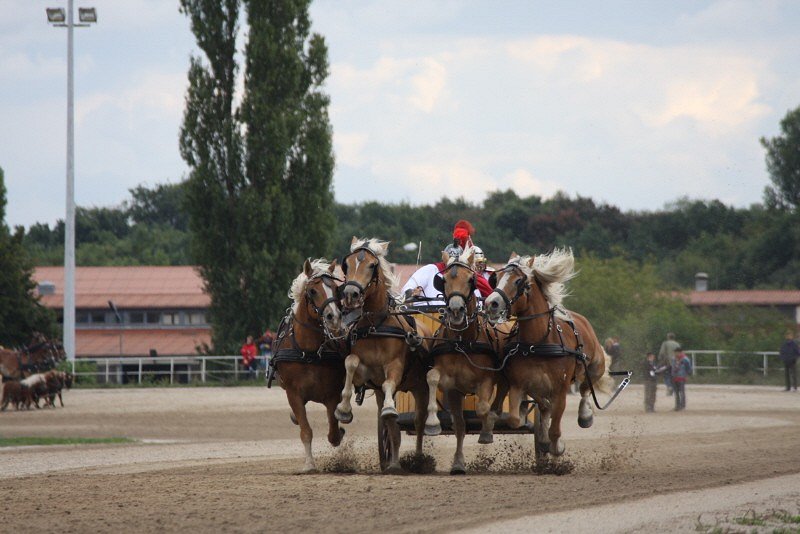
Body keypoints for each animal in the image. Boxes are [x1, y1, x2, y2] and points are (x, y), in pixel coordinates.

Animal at [272, 258, 346, 474]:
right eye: (312, 291)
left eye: (336, 289)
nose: (333, 317)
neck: (310, 352)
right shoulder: (294, 394)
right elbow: (305, 431)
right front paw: (309, 465)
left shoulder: (332, 394)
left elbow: (333, 433)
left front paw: (340, 429)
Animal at [334, 237, 432, 476]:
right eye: (346, 265)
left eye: (371, 265)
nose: (350, 295)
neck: (376, 326)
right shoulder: (367, 374)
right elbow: (350, 363)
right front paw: (344, 409)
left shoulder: (395, 367)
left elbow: (389, 384)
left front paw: (389, 408)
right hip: (381, 393)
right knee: (391, 428)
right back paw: (394, 463)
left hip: (421, 388)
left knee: (419, 422)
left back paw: (418, 459)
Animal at [422, 245, 510, 476]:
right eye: (442, 280)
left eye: (471, 279)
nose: (455, 310)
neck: (463, 341)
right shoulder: (452, 387)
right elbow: (432, 378)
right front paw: (432, 424)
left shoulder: (486, 380)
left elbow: (482, 408)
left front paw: (486, 432)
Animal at [482, 249, 612, 458]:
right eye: (497, 279)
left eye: (518, 281)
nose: (490, 303)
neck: (537, 344)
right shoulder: (519, 384)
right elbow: (516, 418)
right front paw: (535, 429)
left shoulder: (560, 390)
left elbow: (555, 428)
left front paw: (557, 446)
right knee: (545, 406)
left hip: (595, 366)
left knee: (585, 388)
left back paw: (585, 415)